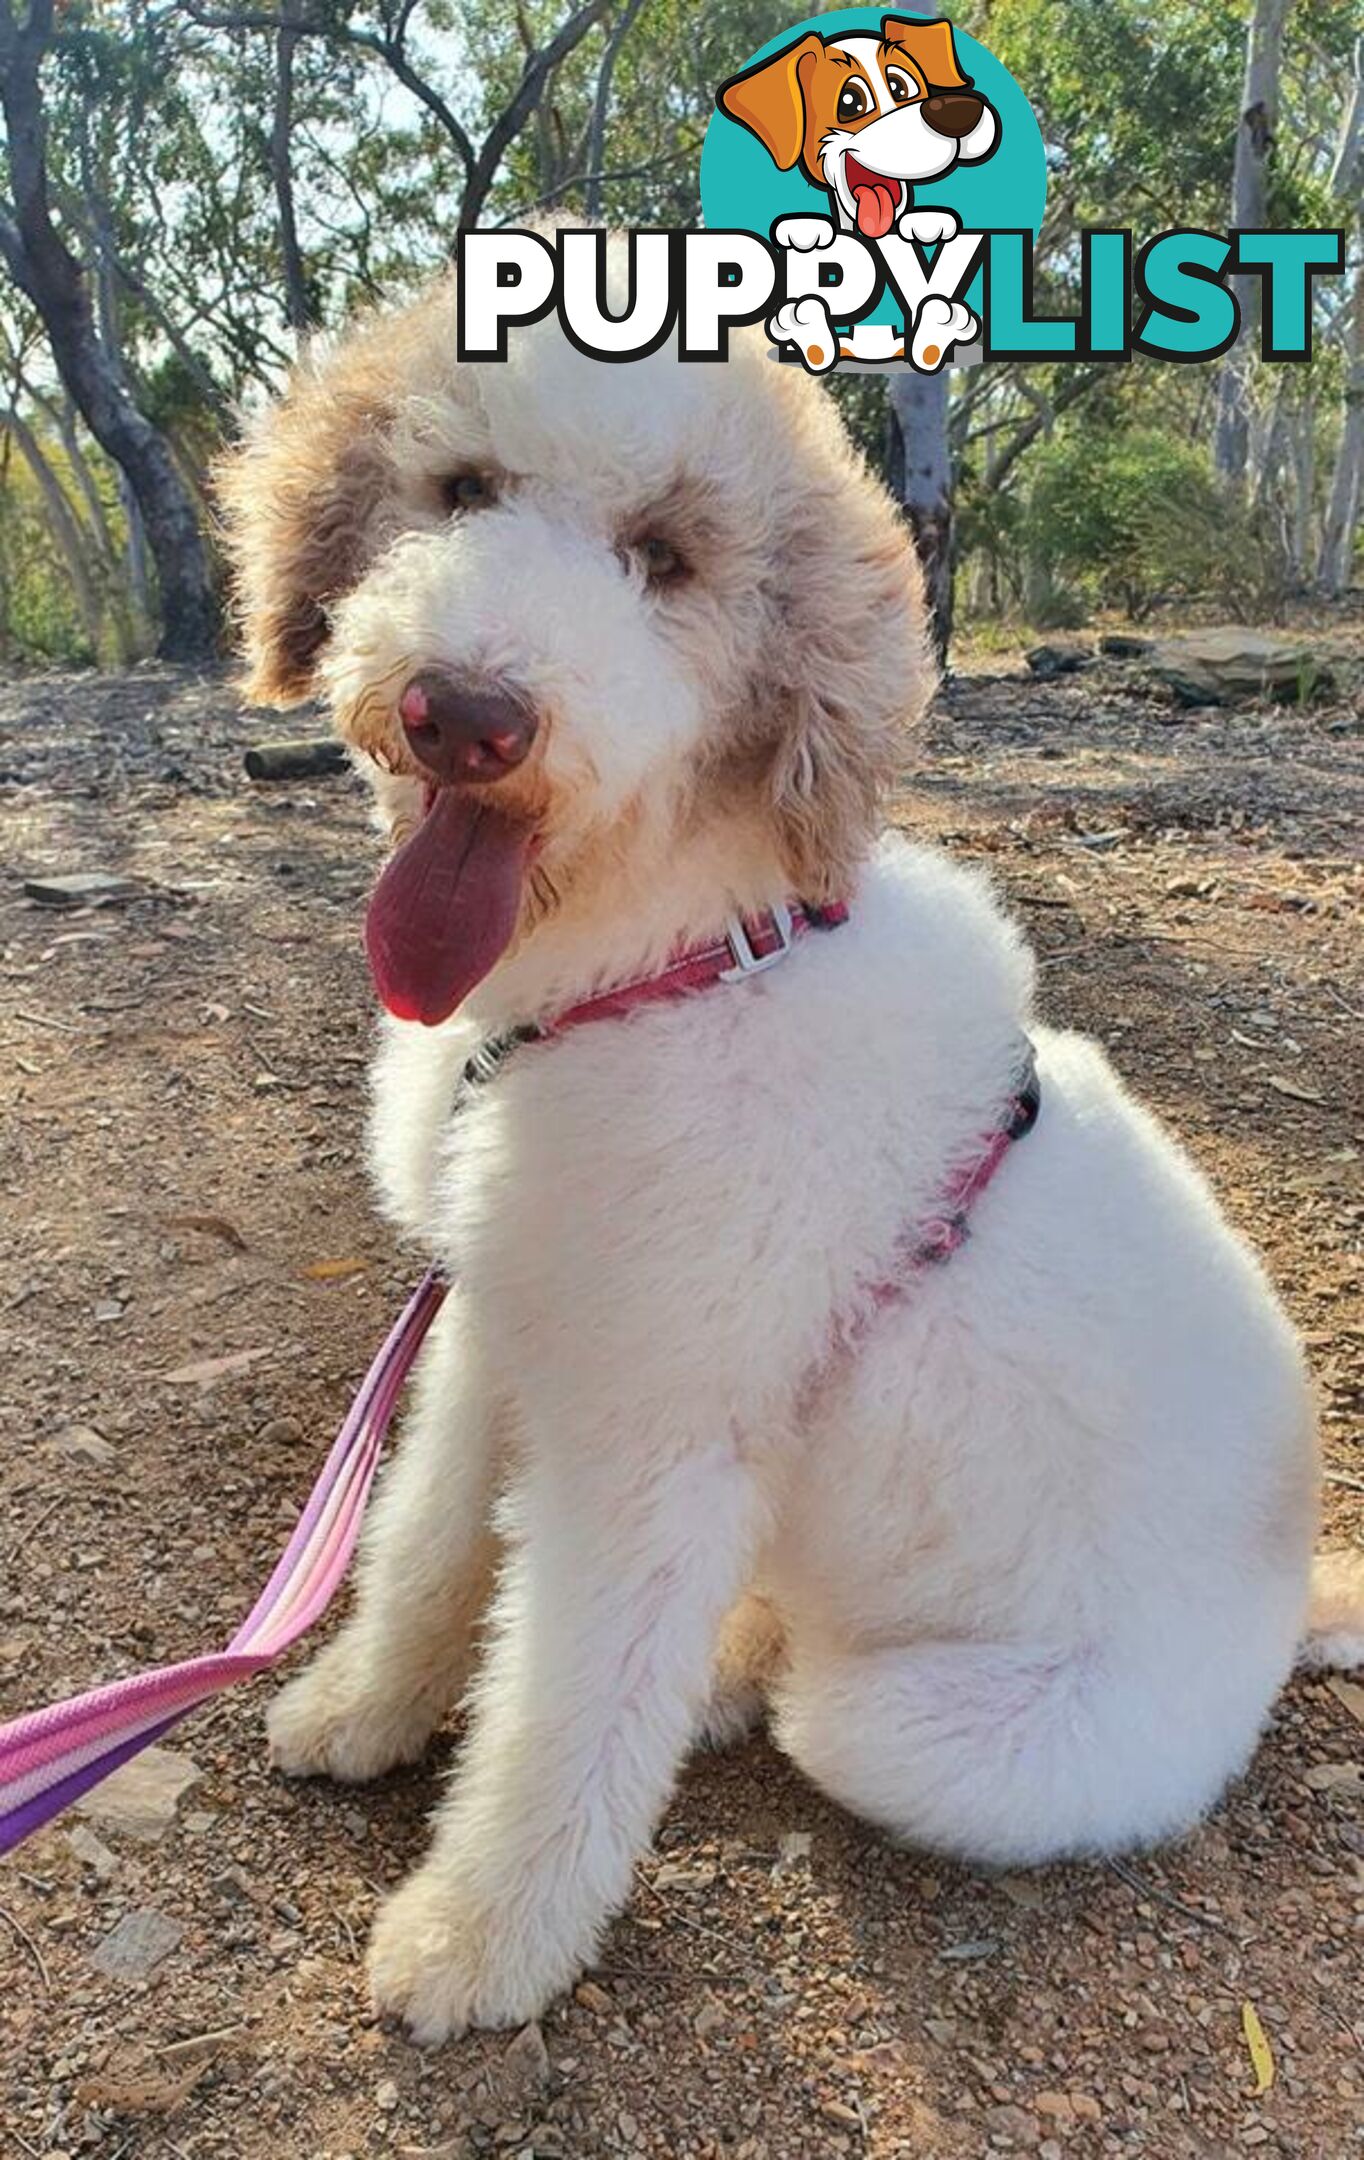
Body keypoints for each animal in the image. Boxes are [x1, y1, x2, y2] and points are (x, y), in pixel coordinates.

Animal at [218, 248, 1357, 2039]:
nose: (464, 713)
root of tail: (1287, 1617)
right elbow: (421, 1543)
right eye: (459, 490)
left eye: (668, 560)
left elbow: (562, 1711)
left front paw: (478, 1943)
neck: (673, 963)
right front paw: (360, 1707)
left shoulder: (654, 1451)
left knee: (800, 1707)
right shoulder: (504, 1331)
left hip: (924, 1732)